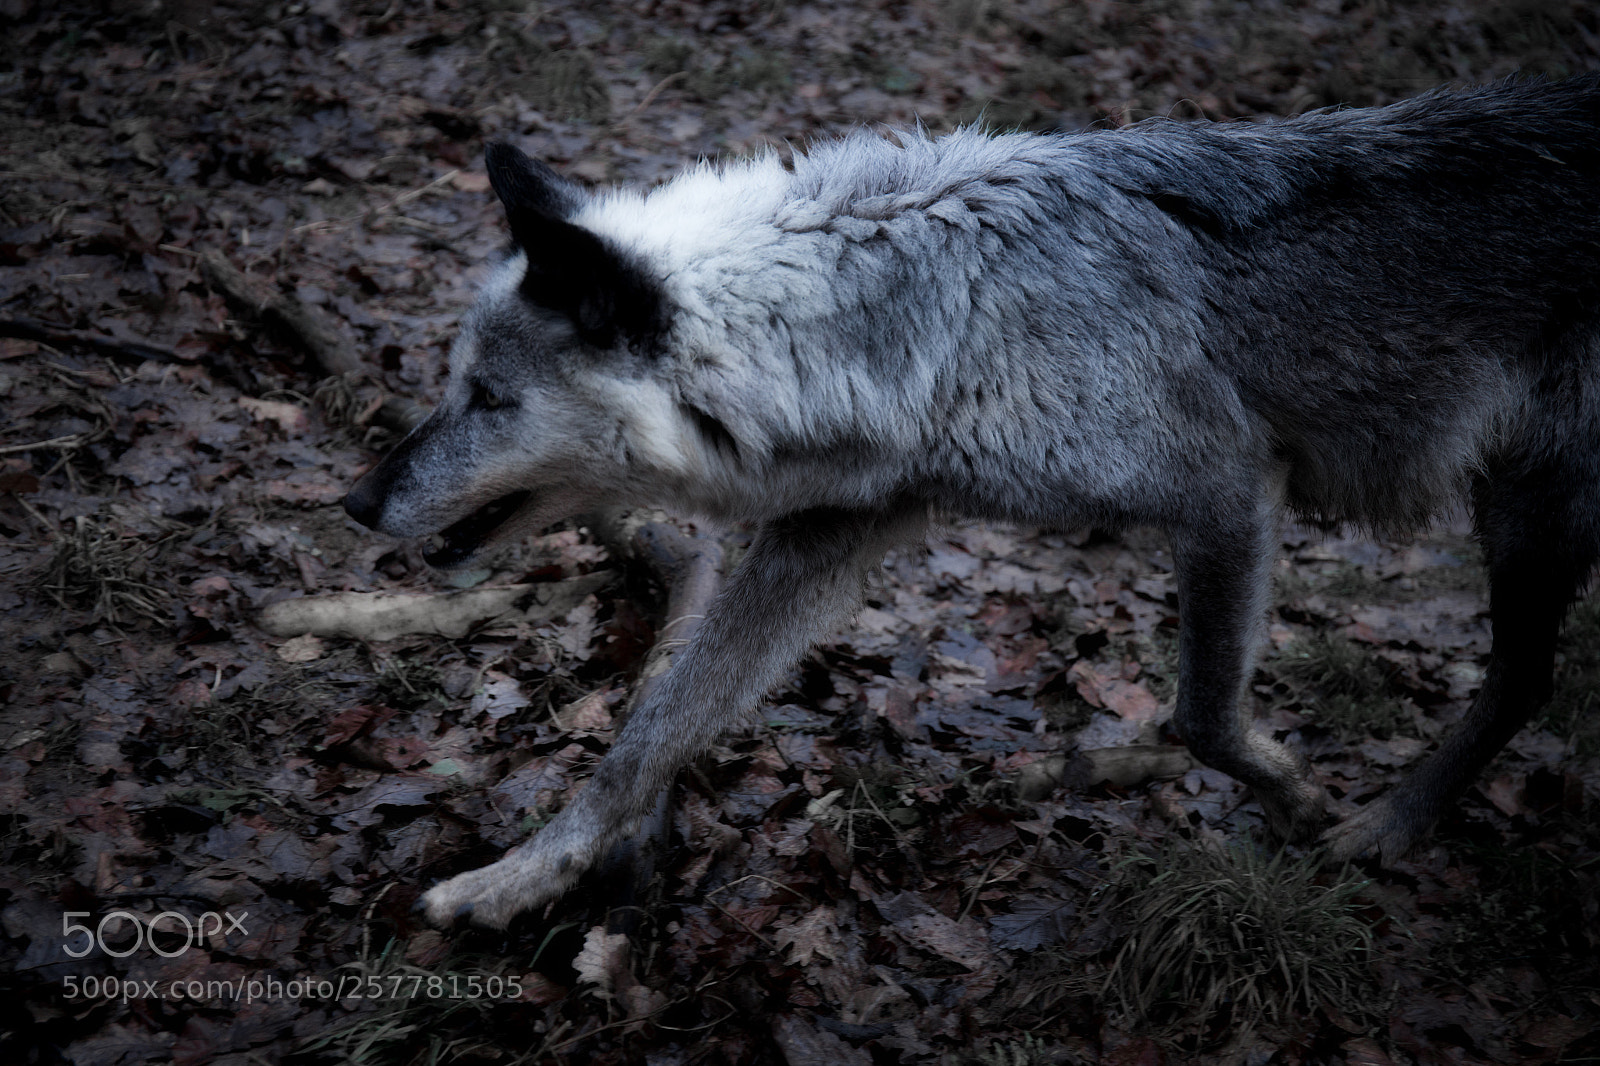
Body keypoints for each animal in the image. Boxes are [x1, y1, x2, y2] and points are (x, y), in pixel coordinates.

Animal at [343, 75, 1600, 929]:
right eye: (453, 382)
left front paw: (1295, 796)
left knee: (1523, 676)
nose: (355, 501)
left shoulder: (1229, 491)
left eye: (487, 397)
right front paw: (518, 878)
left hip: (1529, 513)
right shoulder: (824, 538)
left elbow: (1202, 713)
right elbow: (646, 732)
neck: (949, 316)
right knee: (1528, 677)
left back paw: (1385, 826)